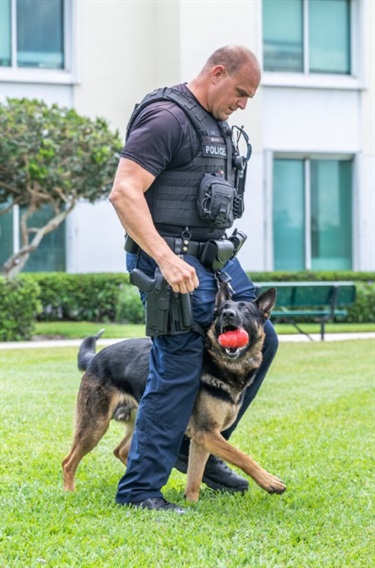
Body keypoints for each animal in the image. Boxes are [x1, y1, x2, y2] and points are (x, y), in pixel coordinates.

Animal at [61, 284, 286, 502]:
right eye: (222, 309)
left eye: (246, 310)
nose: (227, 314)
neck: (224, 366)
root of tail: (95, 358)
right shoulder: (206, 432)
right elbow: (241, 456)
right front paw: (270, 482)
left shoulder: (202, 439)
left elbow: (195, 477)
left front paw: (191, 503)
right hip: (95, 426)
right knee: (67, 461)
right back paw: (70, 492)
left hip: (139, 421)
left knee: (121, 451)